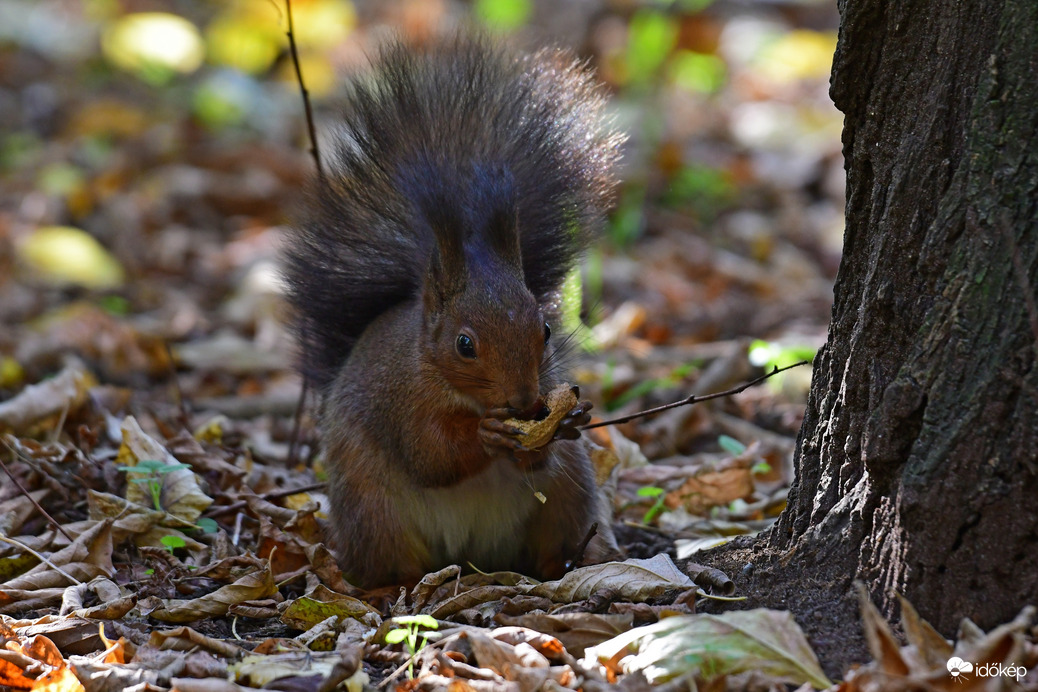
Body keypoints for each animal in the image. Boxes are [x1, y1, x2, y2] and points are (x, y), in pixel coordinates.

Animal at [284, 36, 618, 589]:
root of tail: (471, 556)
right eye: (465, 345)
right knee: (389, 561)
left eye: (547, 329)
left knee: (556, 534)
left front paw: (568, 420)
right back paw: (390, 589)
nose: (525, 400)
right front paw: (485, 437)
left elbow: (537, 460)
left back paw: (570, 563)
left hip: (568, 493)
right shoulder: (400, 402)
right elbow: (430, 456)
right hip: (373, 510)